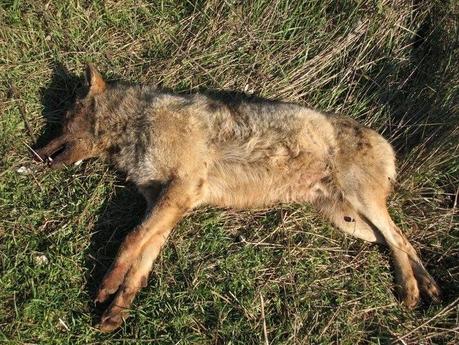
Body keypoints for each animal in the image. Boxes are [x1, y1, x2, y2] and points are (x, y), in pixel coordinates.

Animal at [34, 64, 444, 330]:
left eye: (64, 119)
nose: (34, 153)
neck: (138, 123)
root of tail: (386, 142)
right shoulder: (168, 204)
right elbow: (141, 261)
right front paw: (116, 312)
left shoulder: (181, 190)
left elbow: (129, 240)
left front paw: (105, 287)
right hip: (352, 223)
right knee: (397, 242)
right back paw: (422, 289)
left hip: (362, 206)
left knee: (401, 239)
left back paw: (415, 290)